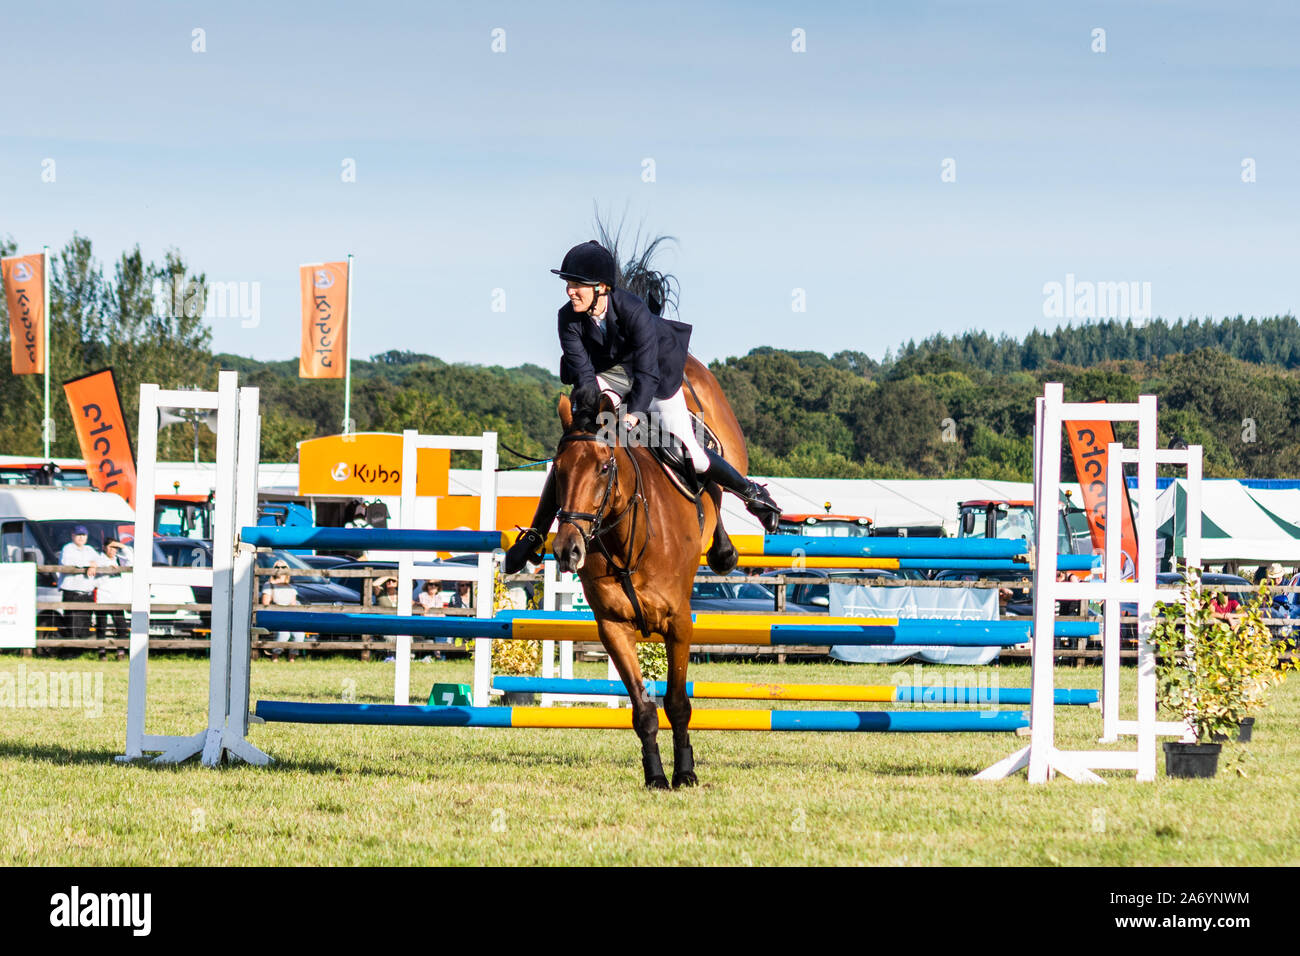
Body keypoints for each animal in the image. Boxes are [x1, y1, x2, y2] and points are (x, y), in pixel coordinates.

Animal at [548, 385, 722, 790]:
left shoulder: (679, 625)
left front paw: (685, 772)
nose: (567, 549)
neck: (630, 539)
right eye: (557, 470)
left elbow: (677, 703)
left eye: (603, 467)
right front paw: (656, 775)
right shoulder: (614, 628)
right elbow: (644, 710)